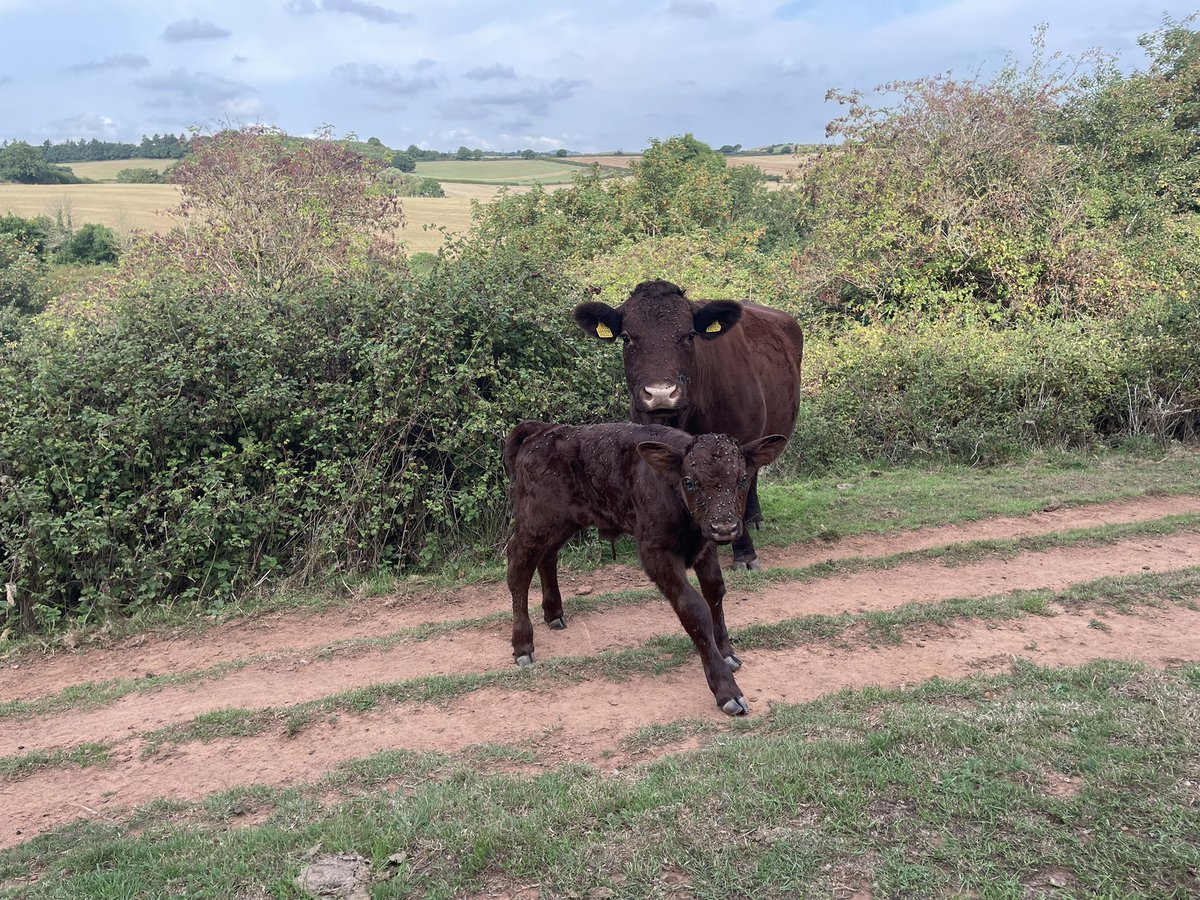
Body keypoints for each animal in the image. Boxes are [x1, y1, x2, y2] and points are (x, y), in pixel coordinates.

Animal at [504, 420, 787, 715]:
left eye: (742, 479)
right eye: (690, 482)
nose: (724, 527)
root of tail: (542, 431)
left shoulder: (705, 546)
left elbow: (715, 591)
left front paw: (727, 652)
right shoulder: (656, 552)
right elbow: (694, 608)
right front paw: (726, 689)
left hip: (564, 521)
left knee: (547, 557)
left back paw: (553, 613)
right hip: (535, 520)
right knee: (518, 566)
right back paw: (523, 645)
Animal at [574, 279, 803, 570]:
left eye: (690, 334)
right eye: (626, 336)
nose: (661, 393)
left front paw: (744, 553)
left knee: (753, 475)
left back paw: (752, 519)